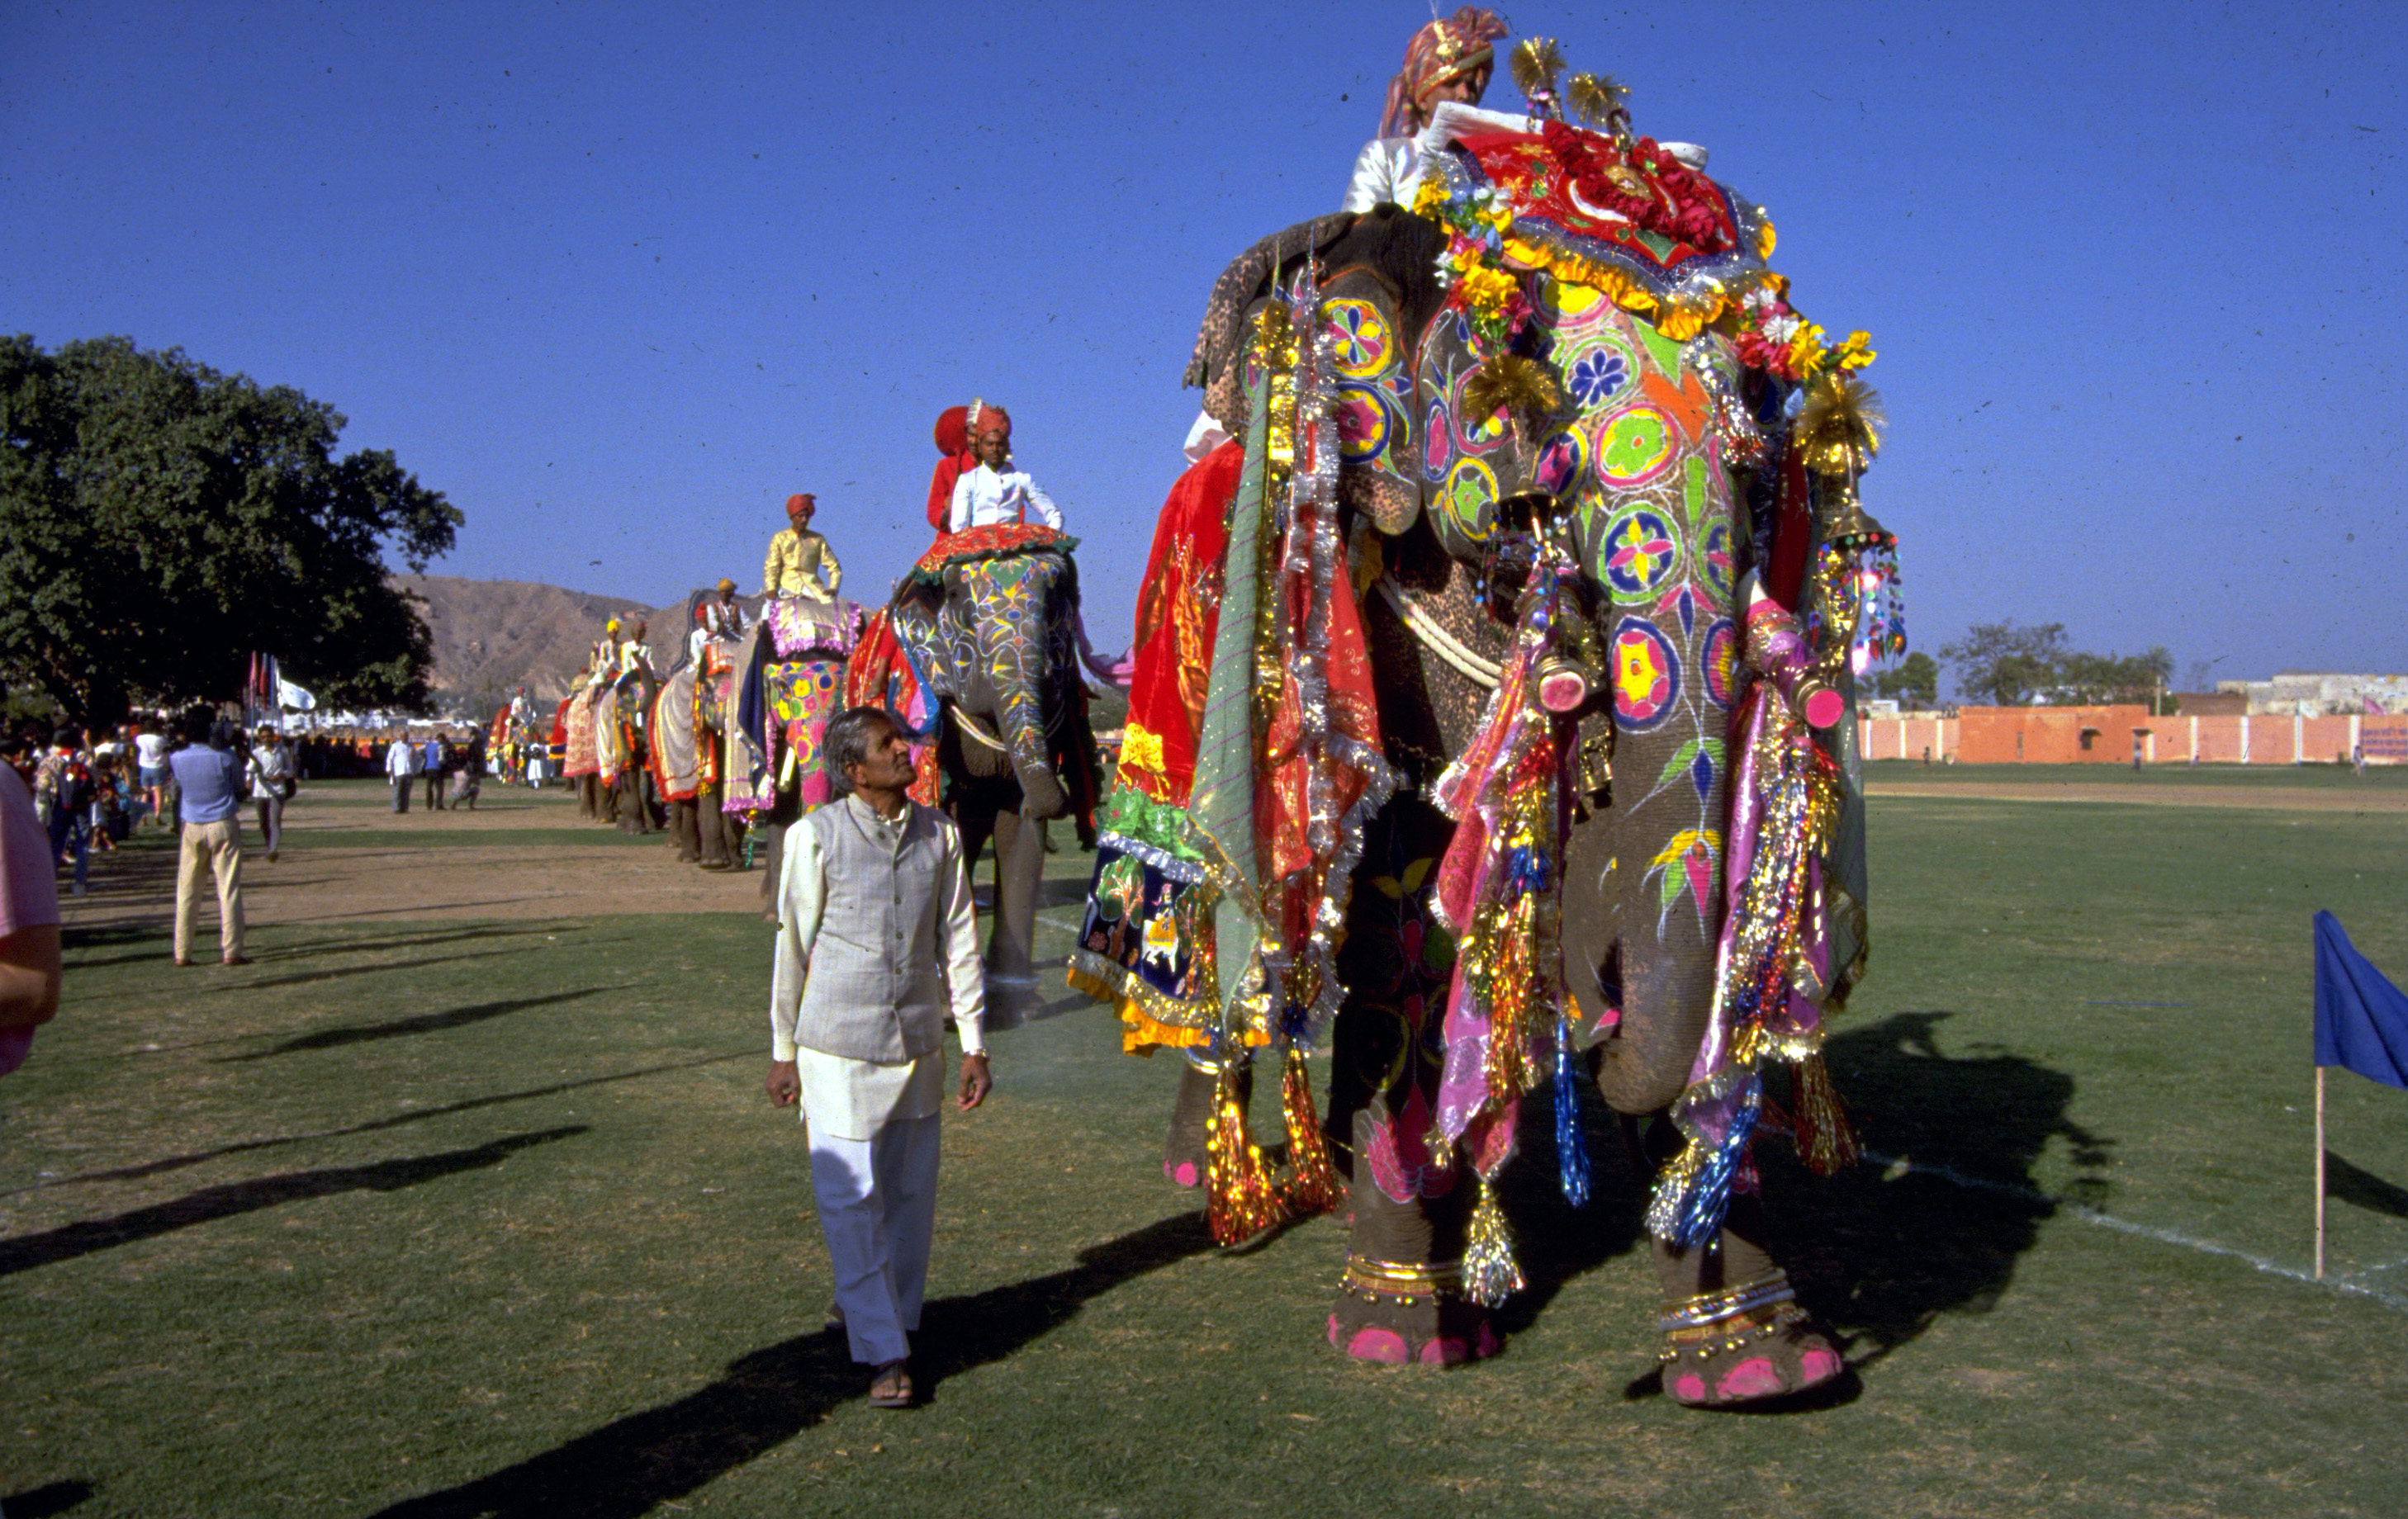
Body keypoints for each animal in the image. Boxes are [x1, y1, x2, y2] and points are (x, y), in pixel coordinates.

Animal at [1069, 68, 1897, 1405]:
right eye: (1524, 388)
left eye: (1760, 421)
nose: (1595, 1038)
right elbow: (1404, 927)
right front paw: (1402, 1324)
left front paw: (1765, 1354)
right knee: (1215, 959)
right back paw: (1221, 1180)